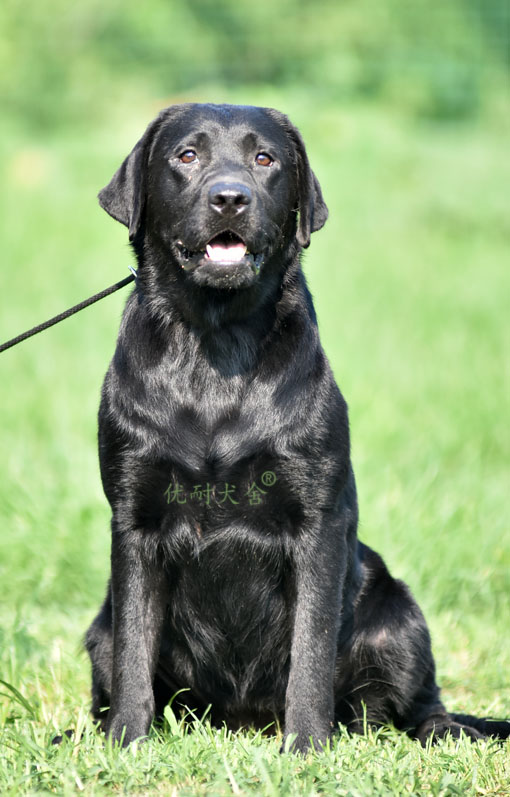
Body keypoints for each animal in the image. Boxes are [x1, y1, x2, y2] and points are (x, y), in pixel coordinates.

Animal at [85, 102, 508, 748]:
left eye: (265, 159)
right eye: (187, 155)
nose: (230, 198)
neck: (217, 343)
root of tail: (241, 721)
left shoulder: (317, 524)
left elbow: (311, 650)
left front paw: (307, 746)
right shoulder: (135, 522)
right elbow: (133, 650)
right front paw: (127, 743)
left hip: (397, 616)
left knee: (421, 703)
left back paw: (434, 731)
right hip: (97, 626)